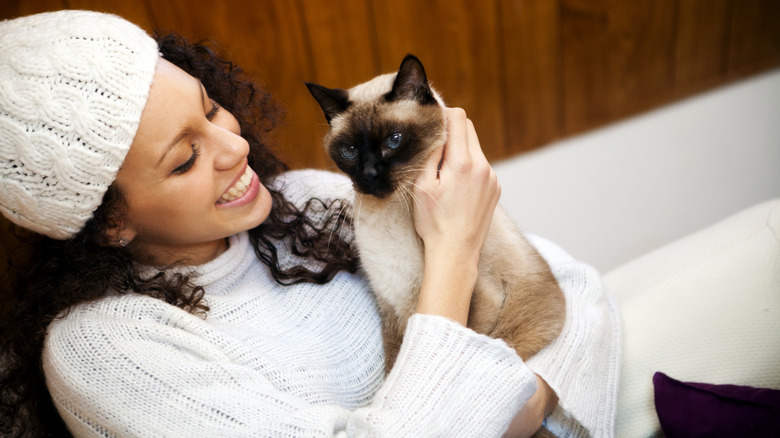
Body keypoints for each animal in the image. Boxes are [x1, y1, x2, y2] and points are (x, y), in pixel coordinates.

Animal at [306, 54, 568, 374]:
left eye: (393, 141)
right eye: (350, 151)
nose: (369, 175)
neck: (387, 215)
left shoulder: (478, 302)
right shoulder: (391, 309)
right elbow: (392, 367)